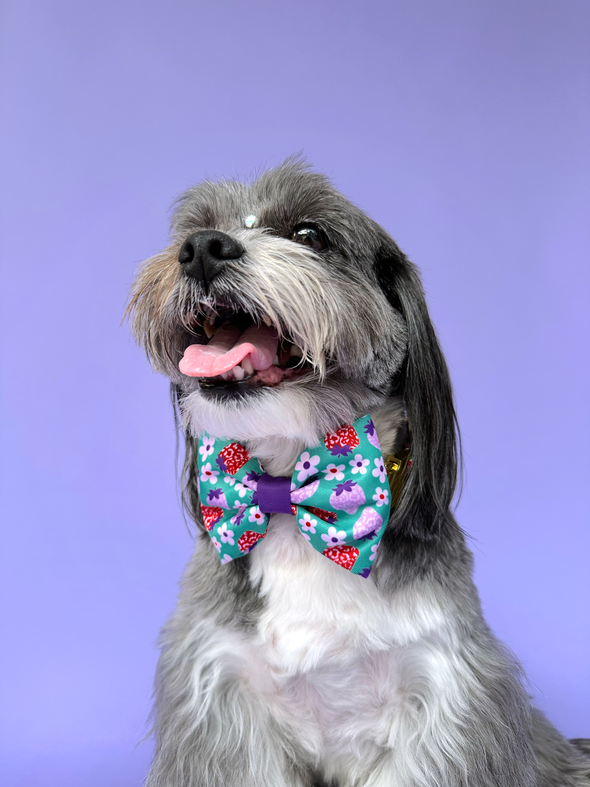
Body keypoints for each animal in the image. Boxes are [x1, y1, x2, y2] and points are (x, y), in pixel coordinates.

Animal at [127, 160, 588, 787]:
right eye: (194, 230)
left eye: (309, 234)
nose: (201, 249)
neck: (291, 503)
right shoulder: (223, 706)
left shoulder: (442, 706)